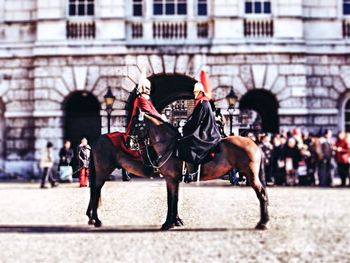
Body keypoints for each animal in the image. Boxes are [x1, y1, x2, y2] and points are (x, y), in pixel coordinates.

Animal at [86, 113, 270, 231]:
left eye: (136, 124)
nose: (128, 142)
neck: (169, 144)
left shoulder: (171, 178)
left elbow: (172, 199)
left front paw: (170, 223)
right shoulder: (172, 179)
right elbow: (173, 199)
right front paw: (173, 221)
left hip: (251, 175)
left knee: (262, 194)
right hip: (103, 170)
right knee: (95, 190)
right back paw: (95, 219)